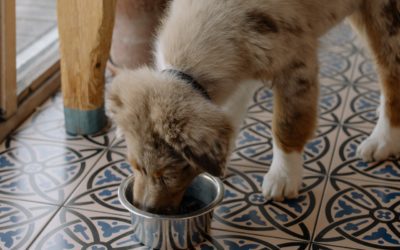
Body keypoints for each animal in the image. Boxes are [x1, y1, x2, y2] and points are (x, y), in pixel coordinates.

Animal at [107, 0, 400, 214]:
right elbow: (230, 114)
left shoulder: (296, 63)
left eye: (167, 174)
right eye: (135, 166)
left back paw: (383, 140)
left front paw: (283, 177)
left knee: (390, 73)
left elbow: (287, 124)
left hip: (385, 15)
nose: (144, 207)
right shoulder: (244, 64)